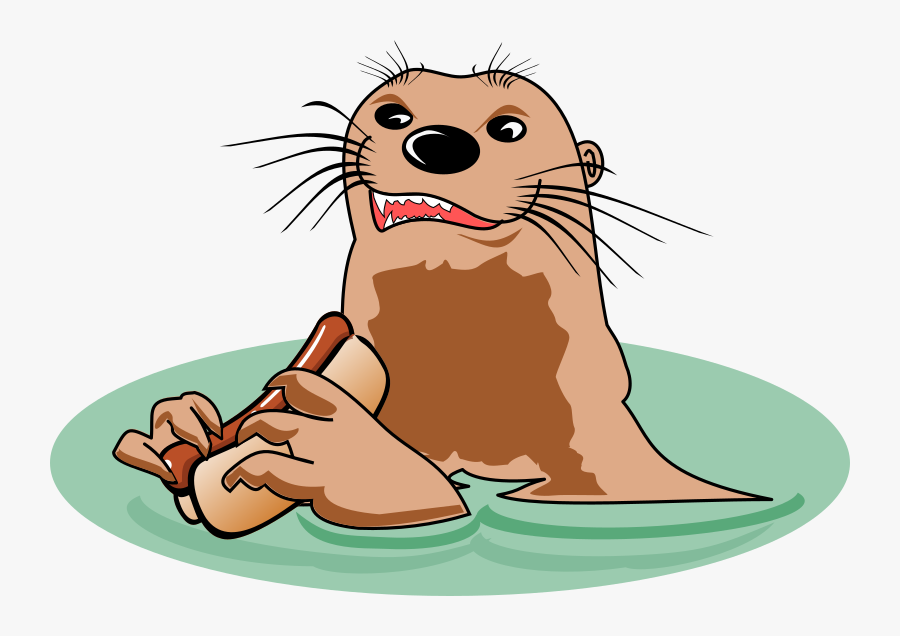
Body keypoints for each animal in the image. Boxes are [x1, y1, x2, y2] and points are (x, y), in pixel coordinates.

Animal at [115, 59, 764, 531]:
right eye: (393, 113)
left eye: (508, 127)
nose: (440, 142)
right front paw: (184, 427)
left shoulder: (607, 456)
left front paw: (347, 457)